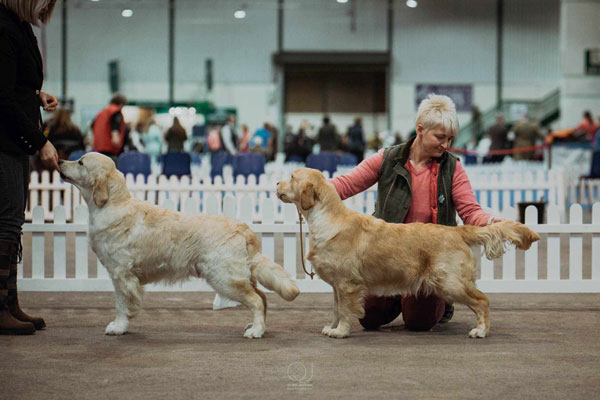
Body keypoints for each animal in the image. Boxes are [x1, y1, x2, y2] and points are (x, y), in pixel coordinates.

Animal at [59, 153, 300, 338]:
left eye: (80, 162)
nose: (59, 160)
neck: (113, 204)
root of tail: (243, 228)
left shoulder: (121, 274)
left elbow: (121, 304)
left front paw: (118, 327)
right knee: (263, 298)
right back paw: (258, 327)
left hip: (225, 278)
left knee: (257, 300)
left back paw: (256, 331)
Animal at [278, 167, 540, 340]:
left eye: (291, 177)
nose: (276, 185)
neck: (326, 218)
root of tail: (456, 230)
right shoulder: (337, 285)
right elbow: (336, 308)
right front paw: (331, 327)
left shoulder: (347, 284)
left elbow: (344, 310)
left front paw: (341, 331)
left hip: (450, 282)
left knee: (482, 300)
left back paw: (481, 330)